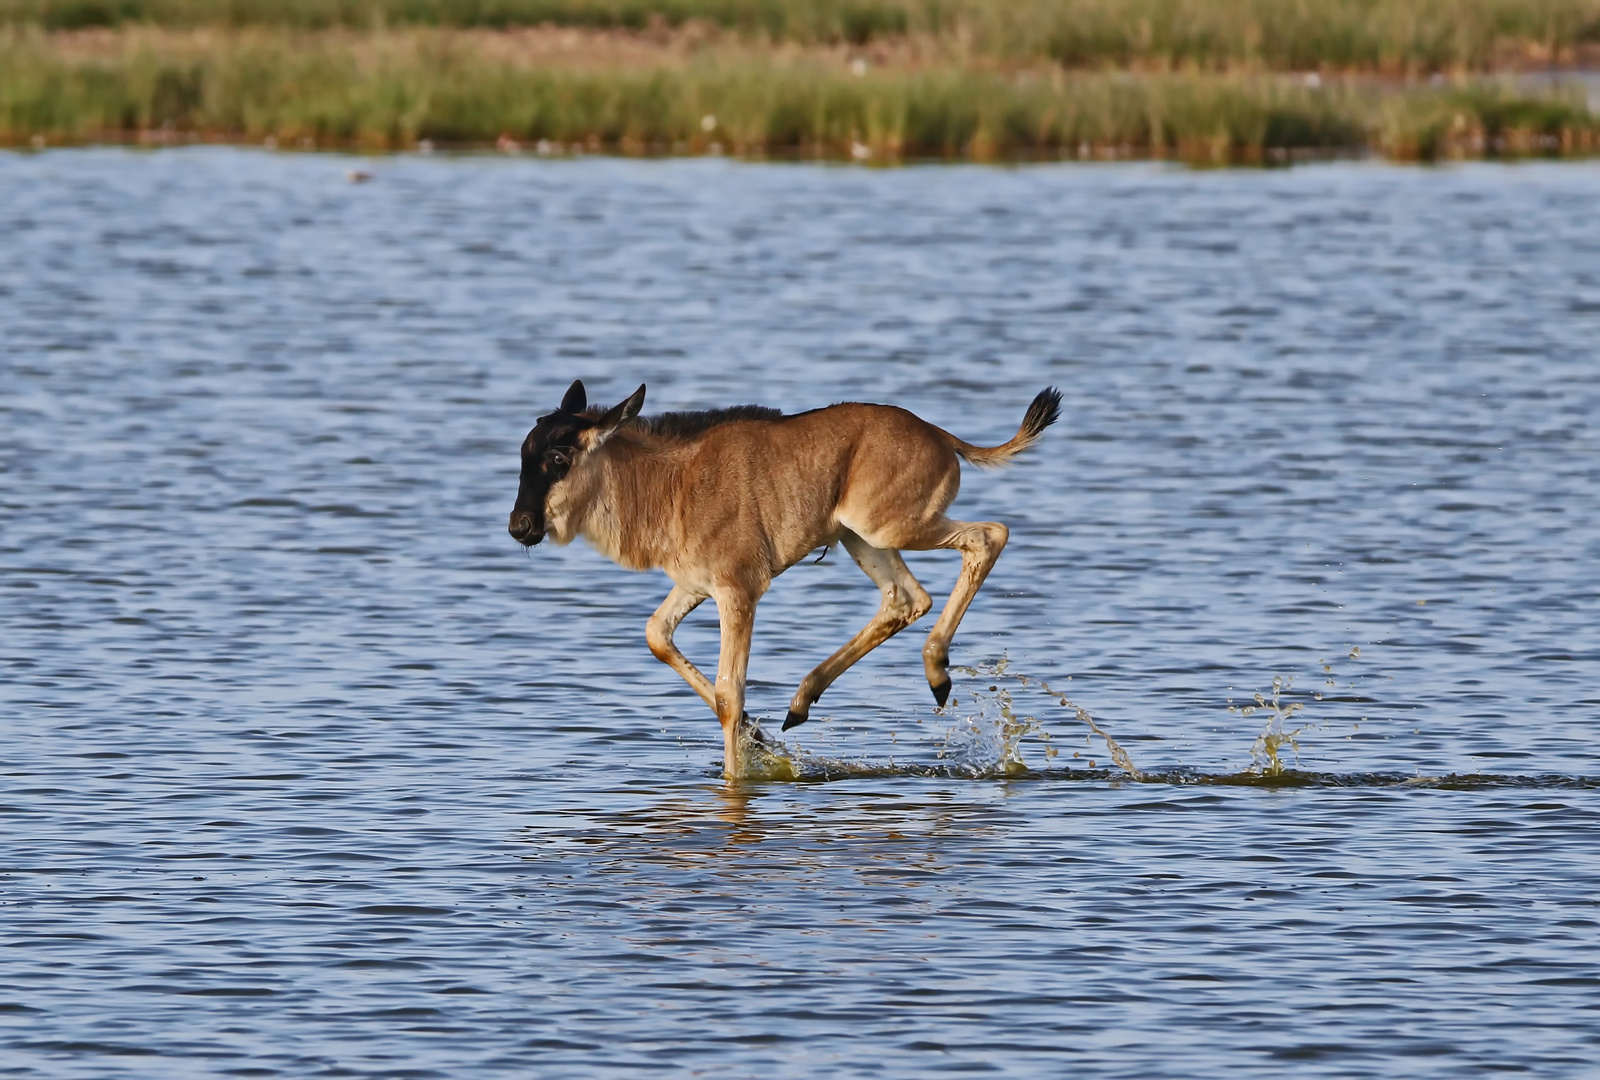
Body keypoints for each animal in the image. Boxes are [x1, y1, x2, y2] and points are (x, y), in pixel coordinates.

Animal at [512, 384, 1062, 780]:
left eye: (559, 459)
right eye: (524, 453)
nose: (520, 526)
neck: (672, 483)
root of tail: (940, 435)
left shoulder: (738, 592)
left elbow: (730, 694)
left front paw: (737, 776)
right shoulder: (693, 586)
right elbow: (658, 638)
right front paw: (757, 737)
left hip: (890, 527)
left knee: (988, 536)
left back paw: (937, 672)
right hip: (860, 538)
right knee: (907, 598)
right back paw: (803, 702)